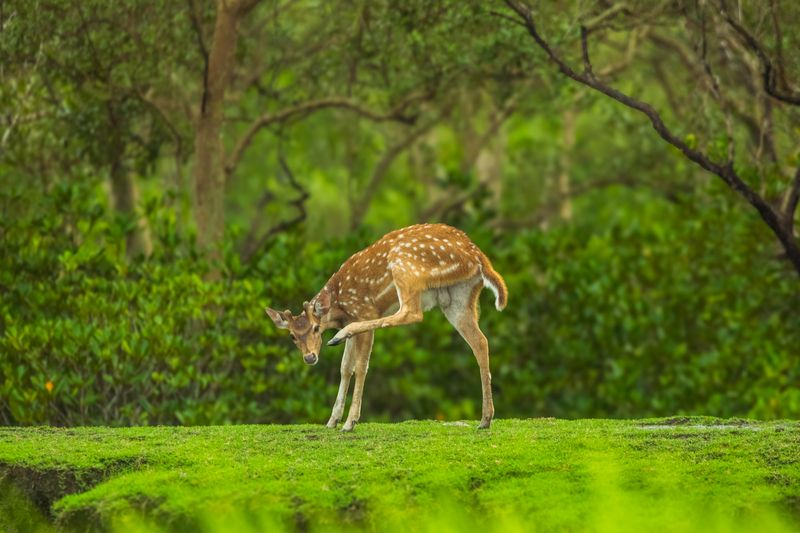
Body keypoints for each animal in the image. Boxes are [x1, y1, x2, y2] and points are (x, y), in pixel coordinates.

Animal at [265, 223, 507, 431]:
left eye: (316, 328)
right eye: (292, 336)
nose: (309, 357)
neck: (339, 308)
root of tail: (478, 257)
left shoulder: (363, 311)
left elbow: (360, 366)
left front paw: (350, 422)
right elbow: (345, 367)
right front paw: (332, 421)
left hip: (405, 265)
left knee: (411, 312)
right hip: (457, 298)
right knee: (480, 341)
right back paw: (485, 419)